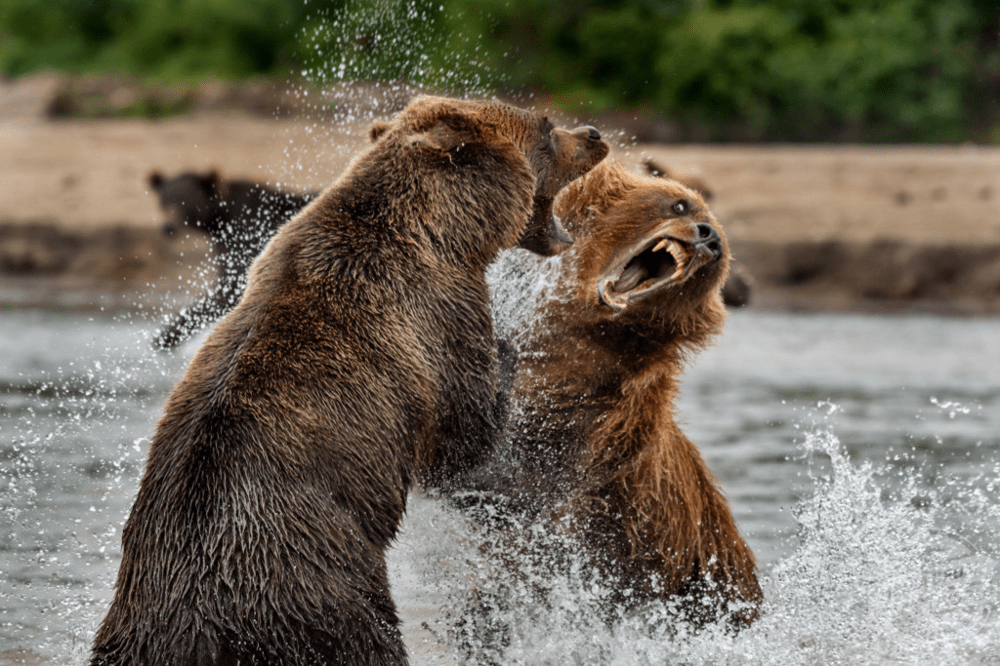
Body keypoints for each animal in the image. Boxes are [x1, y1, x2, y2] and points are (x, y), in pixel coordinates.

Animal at [145, 169, 314, 350]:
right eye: (164, 201)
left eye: (185, 202)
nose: (168, 227)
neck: (219, 221)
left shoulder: (247, 237)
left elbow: (228, 289)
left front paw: (165, 337)